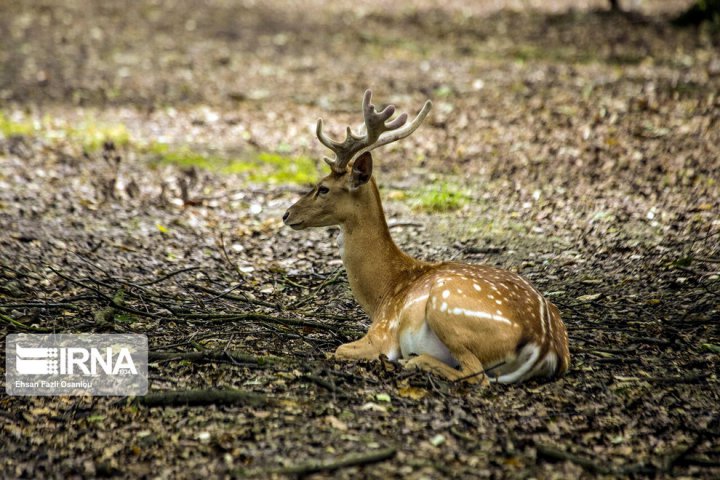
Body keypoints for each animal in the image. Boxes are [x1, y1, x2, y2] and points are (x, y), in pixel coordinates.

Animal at [284, 89, 572, 382]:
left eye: (323, 188)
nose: (287, 214)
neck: (384, 293)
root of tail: (546, 344)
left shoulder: (383, 332)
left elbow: (339, 350)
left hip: (444, 309)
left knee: (475, 374)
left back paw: (412, 361)